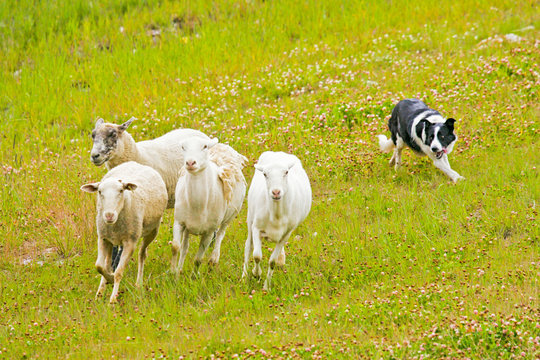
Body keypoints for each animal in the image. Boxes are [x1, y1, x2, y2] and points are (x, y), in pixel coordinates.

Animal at [80, 162, 167, 302]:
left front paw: (113, 299)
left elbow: (119, 272)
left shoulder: (130, 242)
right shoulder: (102, 238)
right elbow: (99, 266)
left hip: (152, 231)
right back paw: (101, 290)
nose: (109, 215)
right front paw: (106, 283)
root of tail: (137, 163)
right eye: (99, 192)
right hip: (111, 240)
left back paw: (138, 283)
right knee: (107, 264)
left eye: (121, 191)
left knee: (142, 254)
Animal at [172, 136, 248, 274]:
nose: (190, 163)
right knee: (185, 247)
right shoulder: (179, 222)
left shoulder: (209, 231)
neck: (197, 204)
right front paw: (173, 272)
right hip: (188, 226)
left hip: (228, 218)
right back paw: (180, 269)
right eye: (183, 147)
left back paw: (213, 260)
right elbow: (176, 247)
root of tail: (222, 145)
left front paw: (194, 276)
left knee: (220, 235)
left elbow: (198, 259)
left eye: (205, 146)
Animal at [242, 150, 312, 292]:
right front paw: (256, 273)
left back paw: (281, 259)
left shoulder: (285, 235)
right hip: (250, 217)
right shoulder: (256, 227)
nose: (276, 192)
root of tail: (279, 152)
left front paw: (266, 287)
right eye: (265, 174)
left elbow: (272, 262)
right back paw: (244, 276)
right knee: (248, 246)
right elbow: (256, 255)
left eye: (286, 172)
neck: (276, 214)